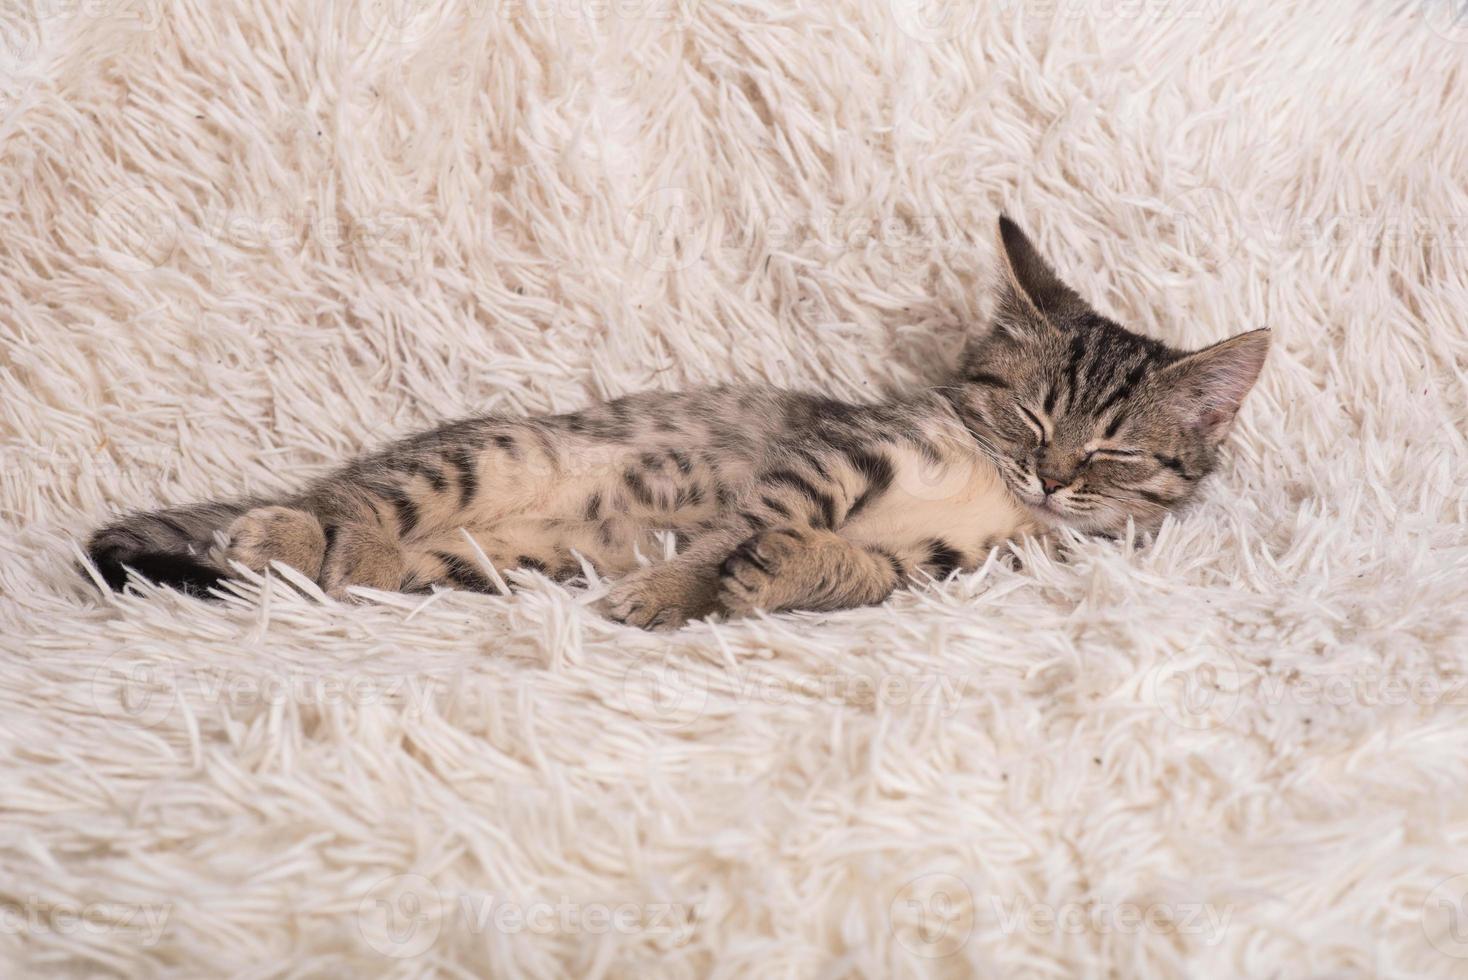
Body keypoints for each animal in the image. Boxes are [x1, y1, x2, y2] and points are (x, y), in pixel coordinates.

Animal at [85, 215, 1268, 627]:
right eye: (1026, 413)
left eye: (1111, 450)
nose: (1052, 477)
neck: (992, 493)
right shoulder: (833, 453)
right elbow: (746, 522)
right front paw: (672, 587)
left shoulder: (956, 563)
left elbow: (865, 569)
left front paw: (786, 575)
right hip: (483, 454)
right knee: (336, 499)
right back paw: (282, 530)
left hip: (479, 560)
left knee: (366, 555)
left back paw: (344, 564)